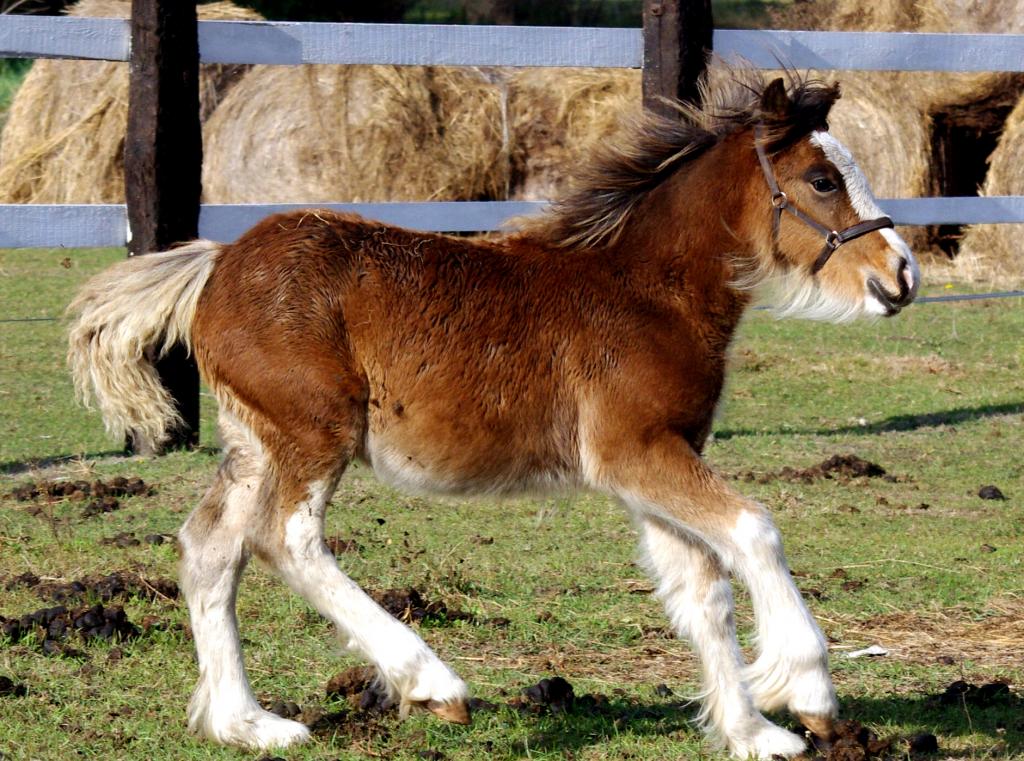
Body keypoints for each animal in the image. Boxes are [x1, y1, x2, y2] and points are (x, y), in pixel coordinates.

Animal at [72, 74, 921, 757]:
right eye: (821, 179)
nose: (903, 273)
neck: (645, 291)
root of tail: (216, 263)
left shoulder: (657, 460)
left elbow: (702, 590)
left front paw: (751, 731)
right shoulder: (635, 450)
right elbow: (754, 529)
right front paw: (806, 689)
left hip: (256, 441)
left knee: (211, 547)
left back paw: (250, 723)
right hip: (315, 433)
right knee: (287, 538)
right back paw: (430, 681)